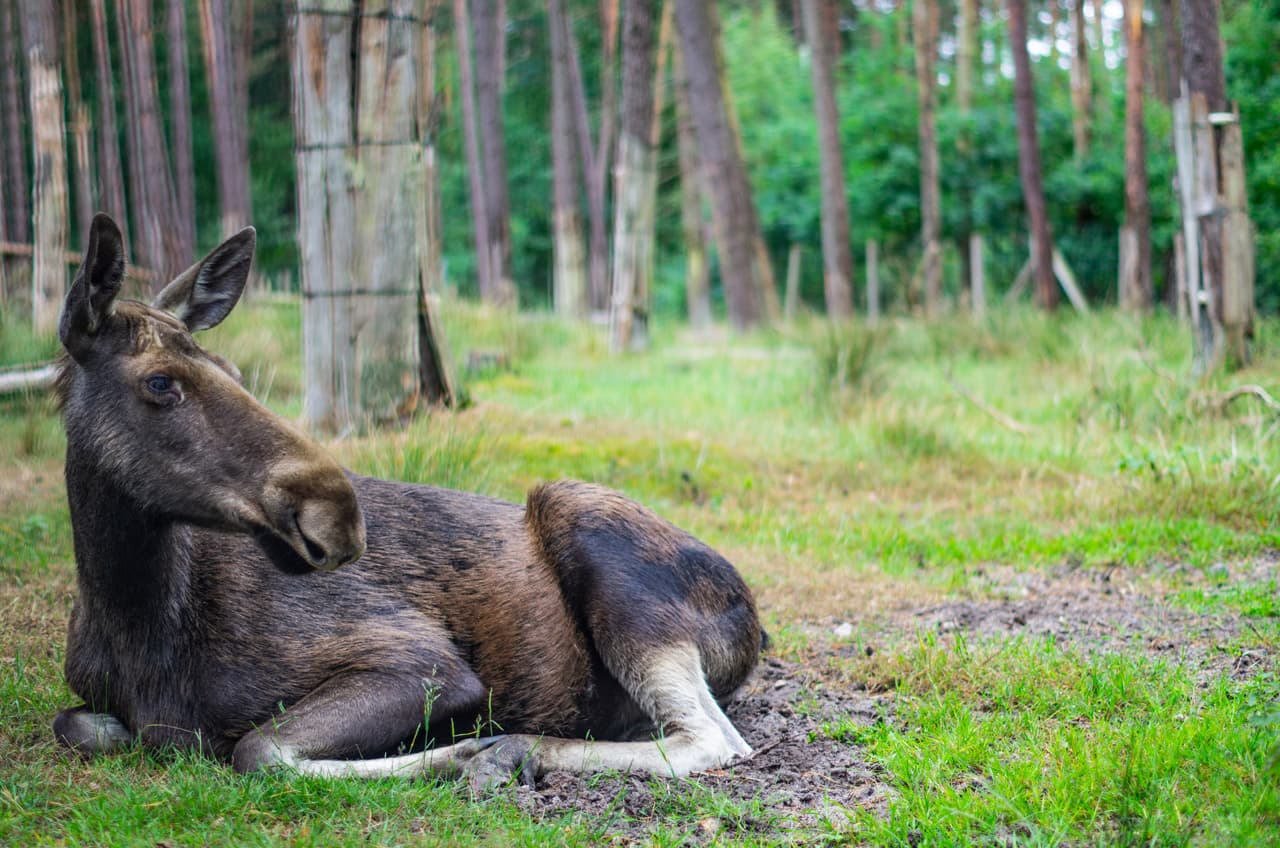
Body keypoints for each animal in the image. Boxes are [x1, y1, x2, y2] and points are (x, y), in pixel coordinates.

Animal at [51, 214, 763, 789]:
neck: (138, 624)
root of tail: (754, 618)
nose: (339, 516)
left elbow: (258, 749)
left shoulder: (424, 662)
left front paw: (466, 750)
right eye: (159, 382)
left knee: (713, 740)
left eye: (232, 371)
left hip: (591, 531)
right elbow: (78, 725)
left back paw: (511, 750)